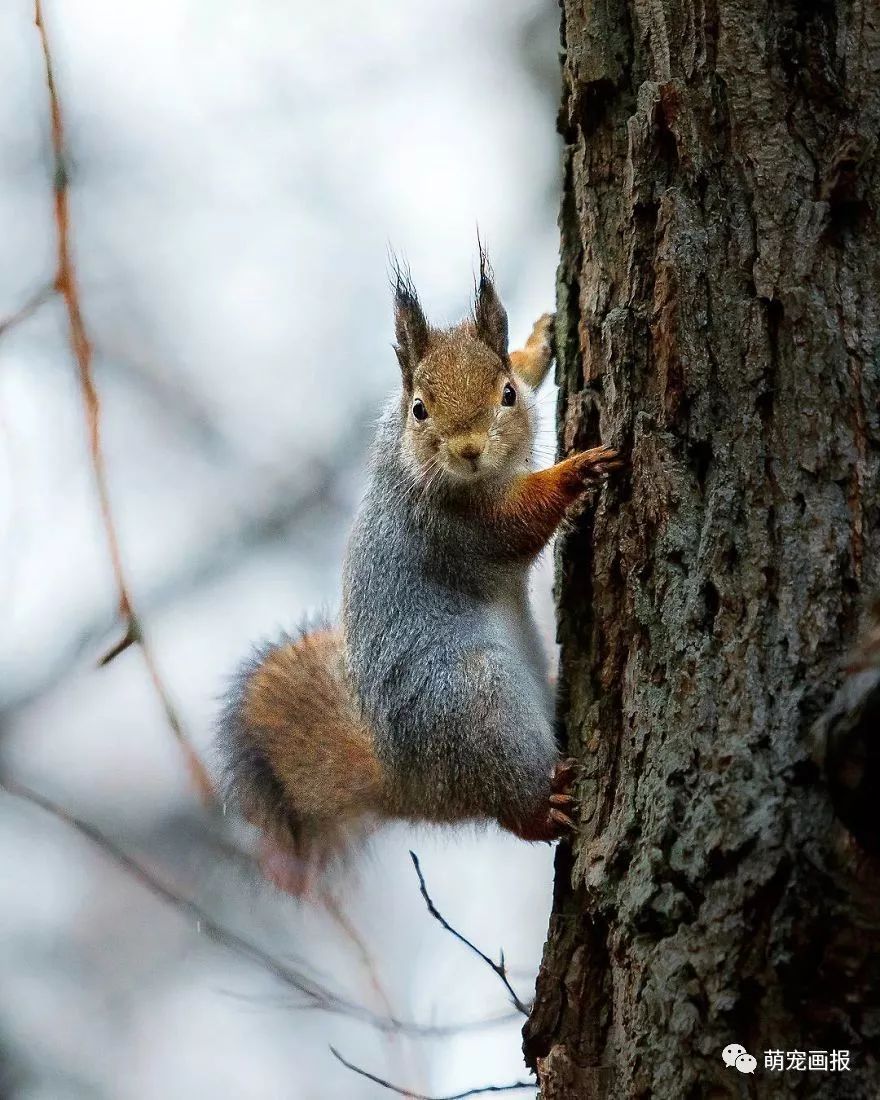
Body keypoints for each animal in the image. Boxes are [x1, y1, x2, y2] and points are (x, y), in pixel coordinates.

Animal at [218, 251, 620, 893]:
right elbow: (518, 522)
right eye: (420, 409)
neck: (415, 461)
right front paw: (573, 471)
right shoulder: (451, 528)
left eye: (507, 393)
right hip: (478, 708)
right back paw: (545, 802)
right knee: (512, 810)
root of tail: (408, 783)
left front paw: (538, 341)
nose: (468, 450)